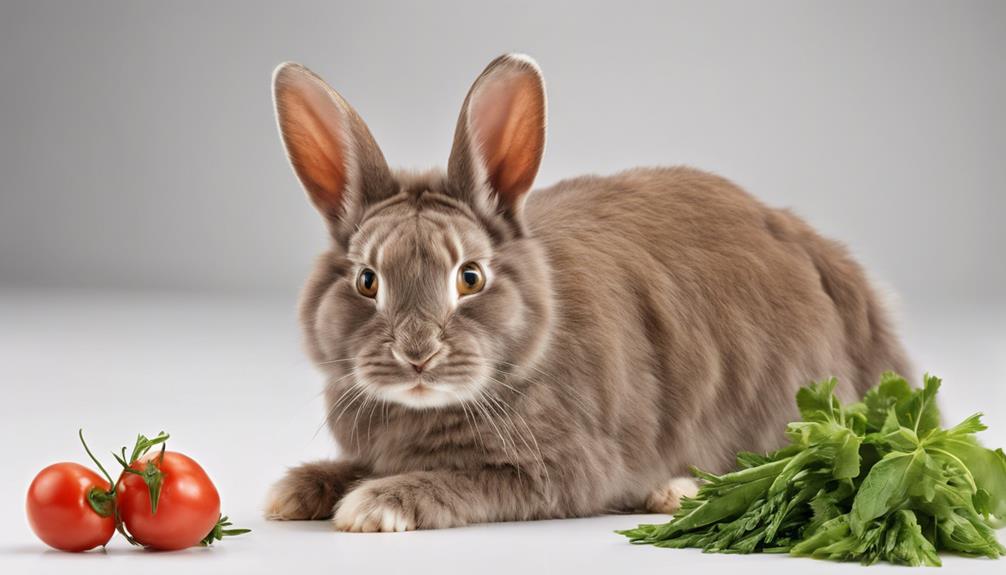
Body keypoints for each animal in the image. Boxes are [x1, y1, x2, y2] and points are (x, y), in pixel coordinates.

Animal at [265, 52, 913, 530]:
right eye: (366, 281)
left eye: (470, 277)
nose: (417, 354)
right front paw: (293, 493)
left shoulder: (559, 469)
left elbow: (461, 481)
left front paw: (374, 506)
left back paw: (674, 492)